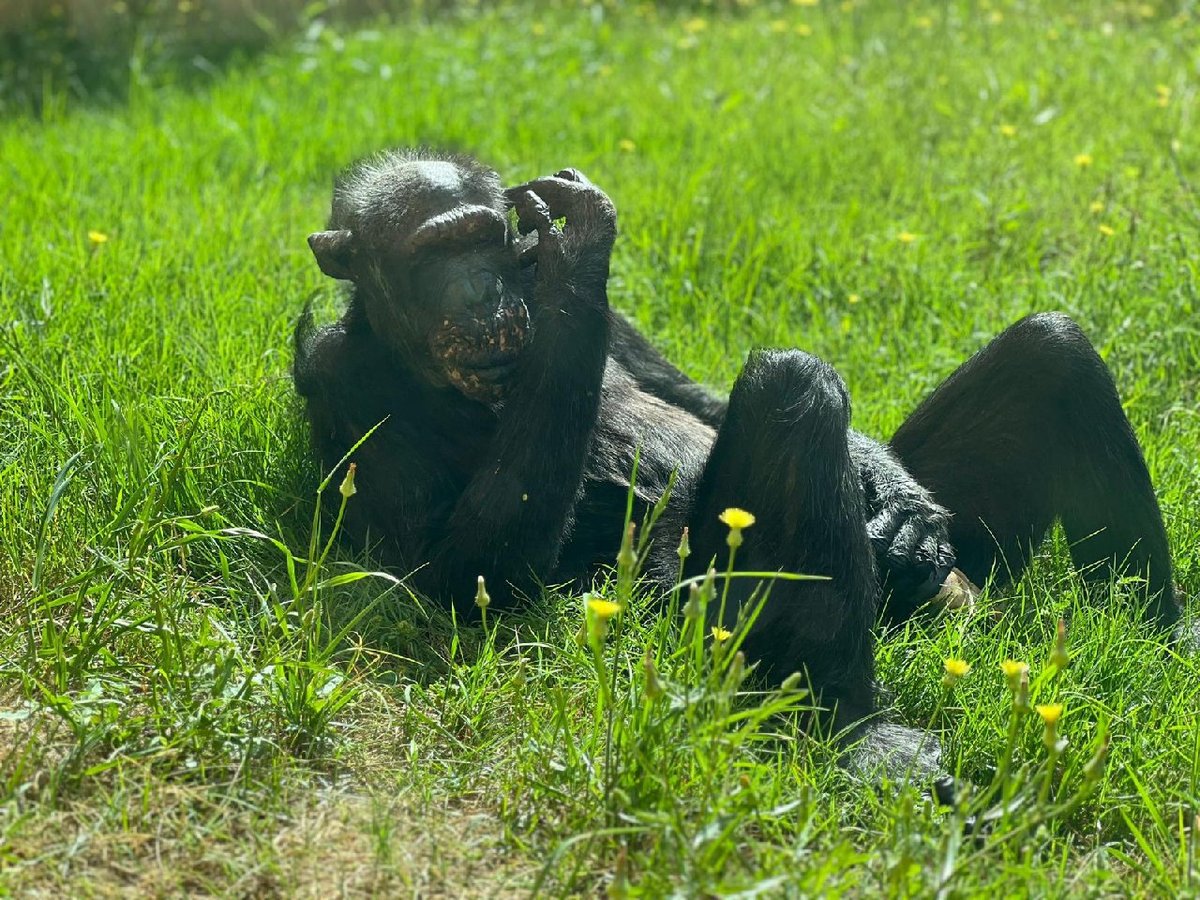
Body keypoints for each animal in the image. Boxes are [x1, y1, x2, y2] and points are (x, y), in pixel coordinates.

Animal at [295, 148, 1185, 768]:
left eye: (484, 237)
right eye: (434, 254)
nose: (484, 287)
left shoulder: (626, 332)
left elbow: (698, 398)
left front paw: (895, 493)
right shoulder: (337, 382)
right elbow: (469, 573)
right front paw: (576, 250)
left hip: (976, 571)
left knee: (1053, 347)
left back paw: (1168, 644)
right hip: (706, 630)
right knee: (792, 386)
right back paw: (860, 738)